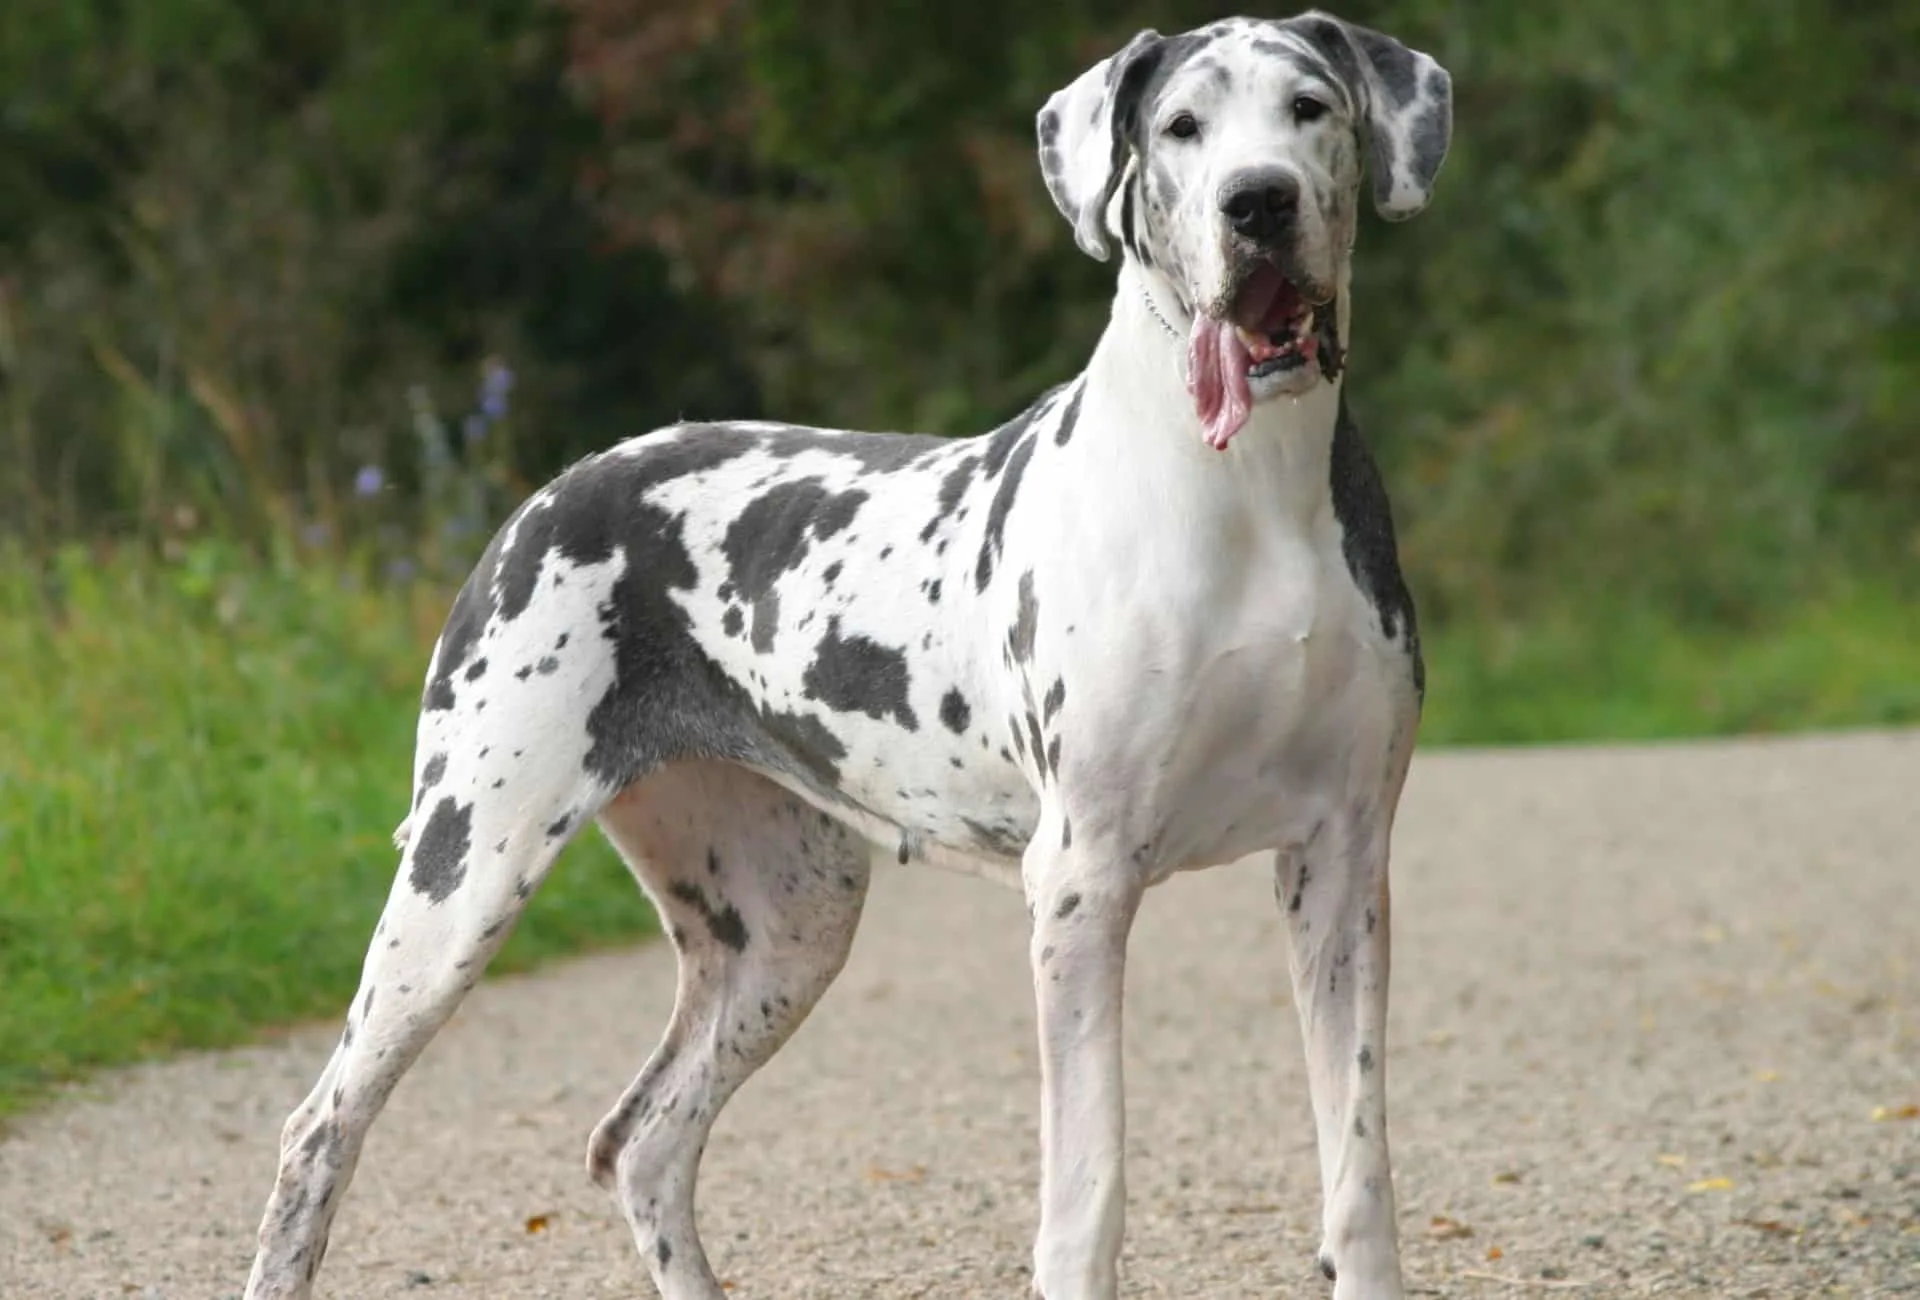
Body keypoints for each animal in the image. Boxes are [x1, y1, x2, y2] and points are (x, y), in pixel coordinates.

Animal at [247, 12, 1443, 1298]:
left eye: (1310, 107)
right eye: (1182, 126)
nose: (1258, 200)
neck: (1253, 487)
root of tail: (550, 492)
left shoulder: (1342, 864)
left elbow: (1359, 1166)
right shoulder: (1083, 881)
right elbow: (1087, 1189)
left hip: (789, 917)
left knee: (642, 1140)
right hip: (465, 871)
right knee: (319, 1128)